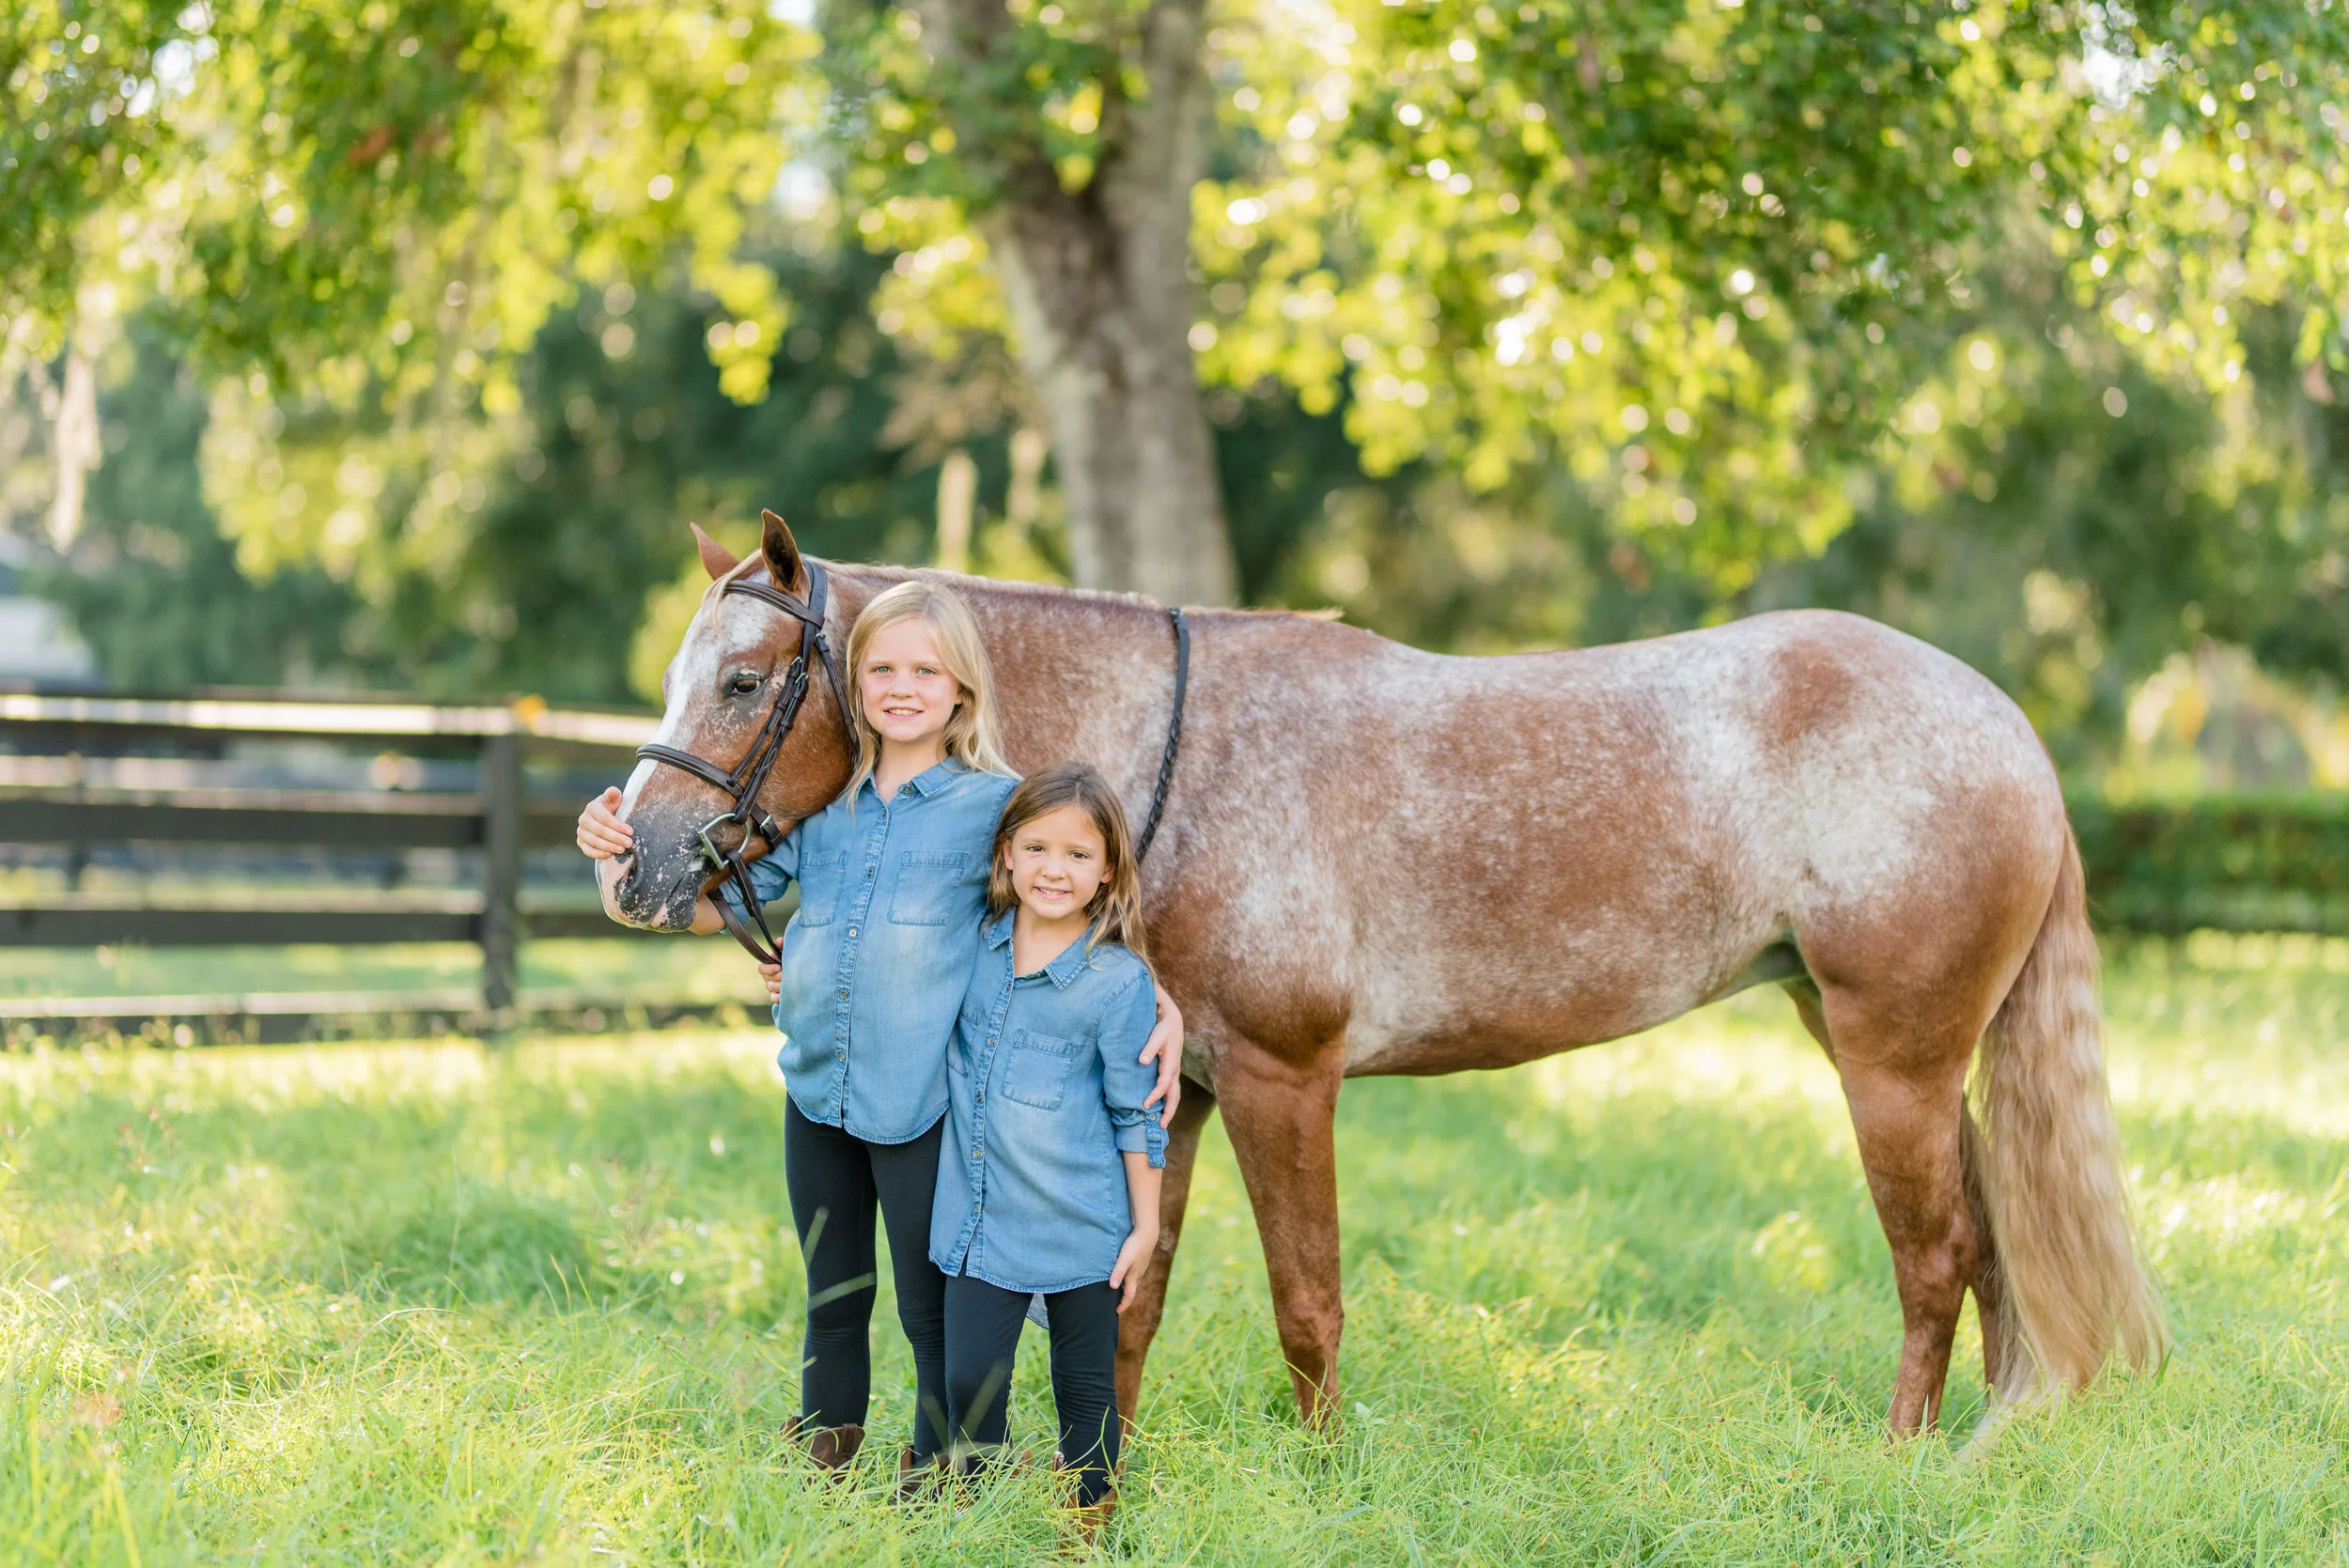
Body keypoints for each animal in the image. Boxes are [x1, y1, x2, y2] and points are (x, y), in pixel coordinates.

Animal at [599, 511, 2165, 1438]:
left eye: (745, 682)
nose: (638, 863)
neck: (1184, 765)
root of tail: (2003, 726)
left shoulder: (1286, 1082)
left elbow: (1309, 1300)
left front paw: (1321, 1466)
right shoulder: (1175, 1093)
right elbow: (1131, 1298)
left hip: (1892, 1056)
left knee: (1938, 1254)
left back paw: (1909, 1457)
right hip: (1887, 1044)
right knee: (1991, 1242)